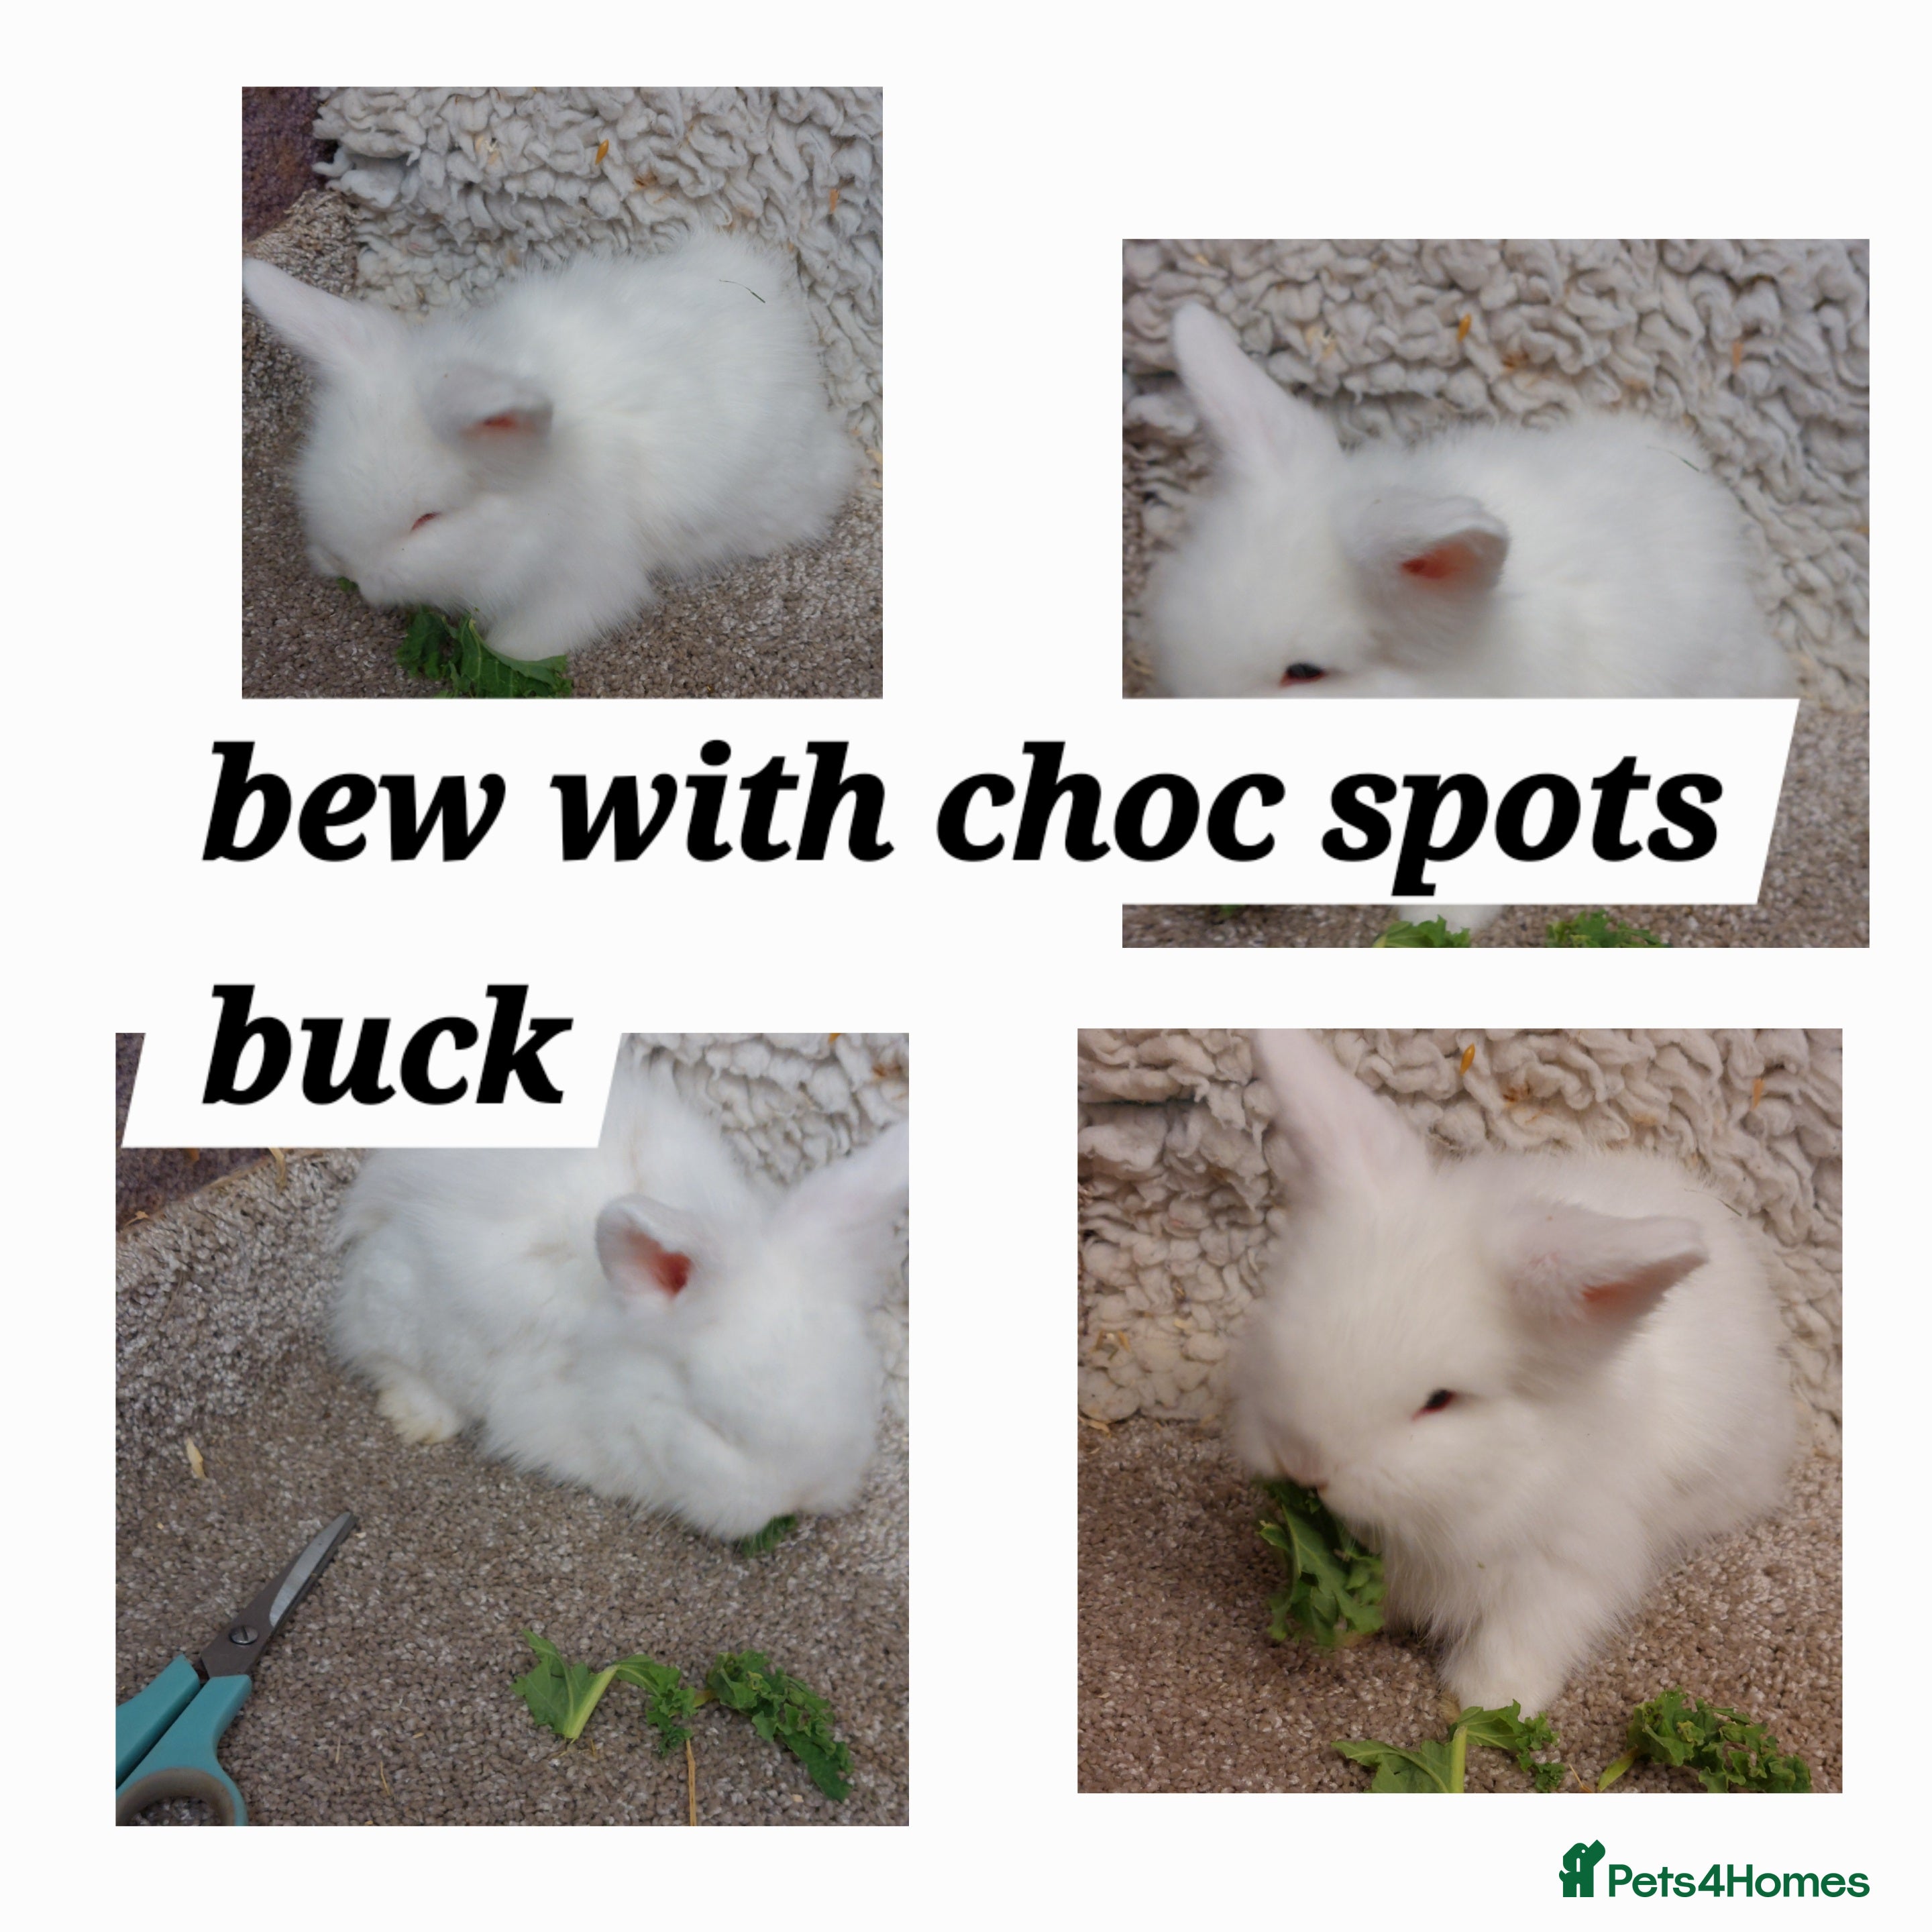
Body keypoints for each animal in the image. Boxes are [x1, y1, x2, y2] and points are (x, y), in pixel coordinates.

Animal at [329, 1058, 908, 1539]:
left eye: (863, 1391)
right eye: (716, 1427)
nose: (797, 1501)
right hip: (401, 1302)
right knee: (377, 1348)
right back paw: (418, 1419)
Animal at [1229, 1030, 1796, 1714]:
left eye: (1440, 1400)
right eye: (1282, 1322)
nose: (1304, 1466)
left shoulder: (1564, 1567)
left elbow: (1523, 1637)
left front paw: (1484, 1704)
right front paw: (1345, 1630)